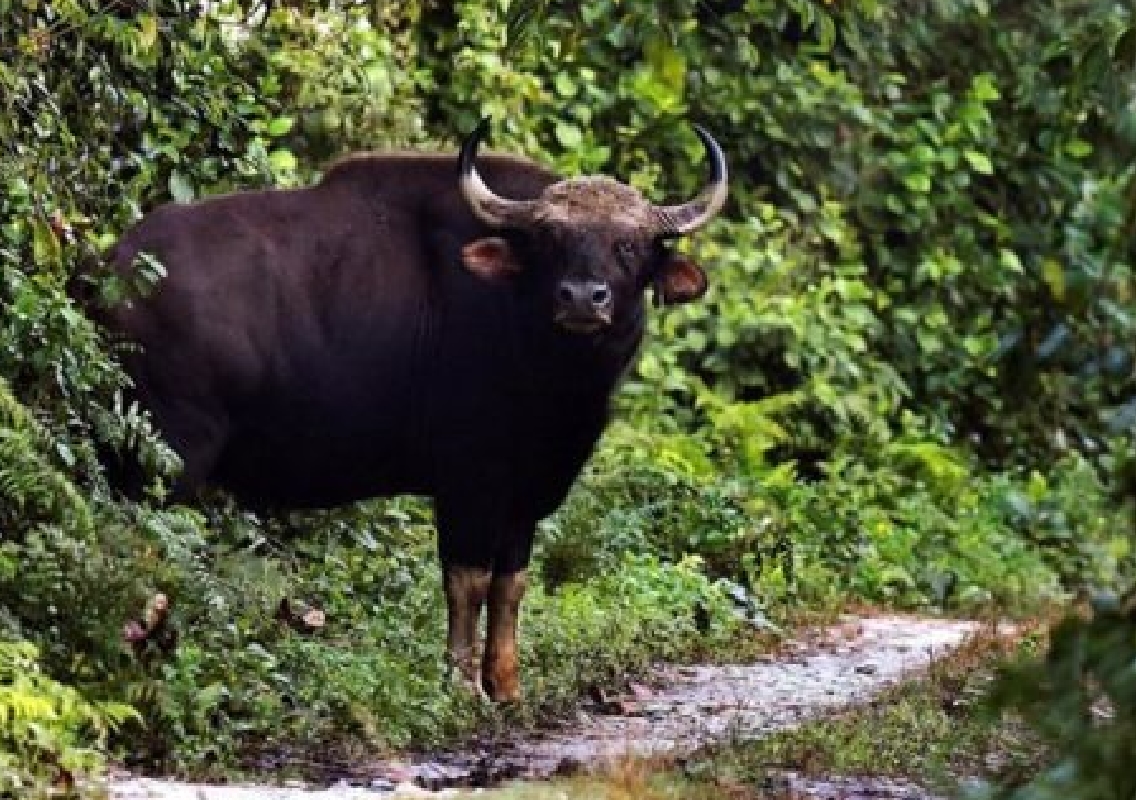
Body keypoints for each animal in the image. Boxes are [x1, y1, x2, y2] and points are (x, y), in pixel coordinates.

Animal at [101, 120, 727, 701]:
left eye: (629, 245)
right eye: (549, 240)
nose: (581, 298)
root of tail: (111, 269)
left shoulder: (524, 491)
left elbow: (511, 585)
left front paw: (505, 685)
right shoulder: (469, 482)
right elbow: (467, 580)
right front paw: (461, 686)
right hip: (167, 457)